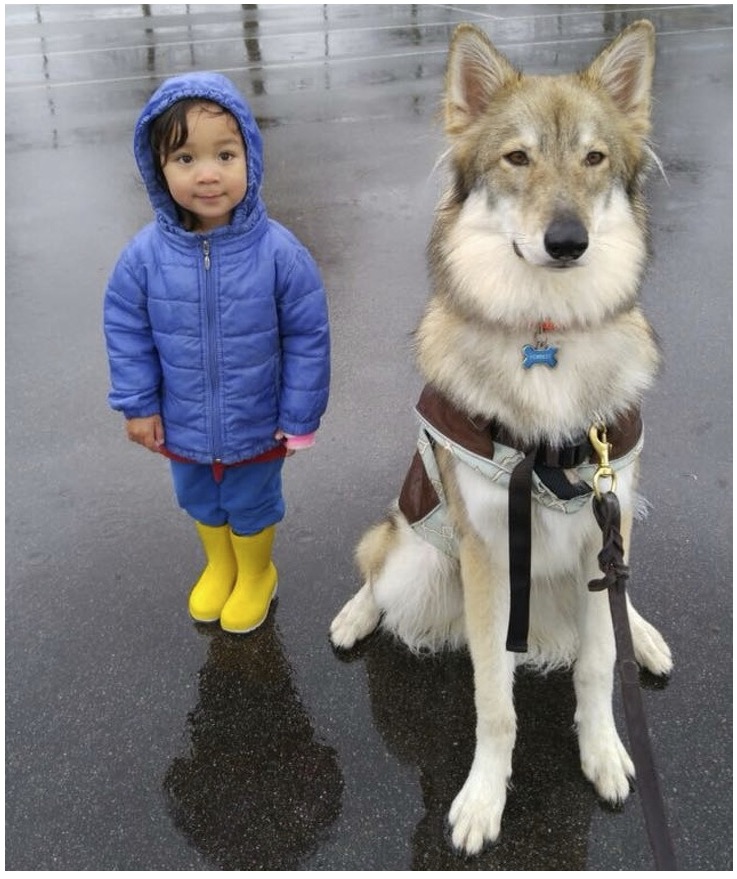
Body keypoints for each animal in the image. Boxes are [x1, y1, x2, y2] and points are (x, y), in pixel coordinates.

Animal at [330, 20, 676, 856]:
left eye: (593, 158)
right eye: (516, 157)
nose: (567, 241)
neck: (544, 332)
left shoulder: (602, 531)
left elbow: (596, 668)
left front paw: (604, 751)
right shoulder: (489, 555)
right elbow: (494, 701)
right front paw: (484, 798)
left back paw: (644, 637)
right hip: (420, 561)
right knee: (377, 565)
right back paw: (355, 615)